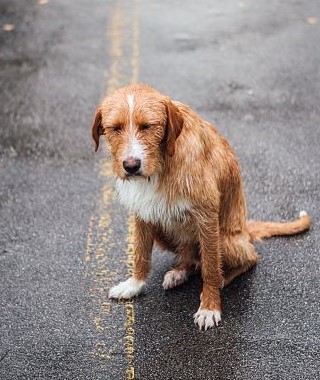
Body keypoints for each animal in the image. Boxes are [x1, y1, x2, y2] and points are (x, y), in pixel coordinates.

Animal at [91, 84, 312, 330]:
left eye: (148, 126)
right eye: (115, 128)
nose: (131, 166)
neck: (163, 161)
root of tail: (246, 230)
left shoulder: (207, 216)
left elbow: (210, 267)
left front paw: (209, 307)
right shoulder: (143, 212)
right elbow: (140, 254)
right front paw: (134, 285)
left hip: (226, 240)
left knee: (249, 257)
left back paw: (225, 277)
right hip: (163, 230)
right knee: (190, 256)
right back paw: (179, 272)